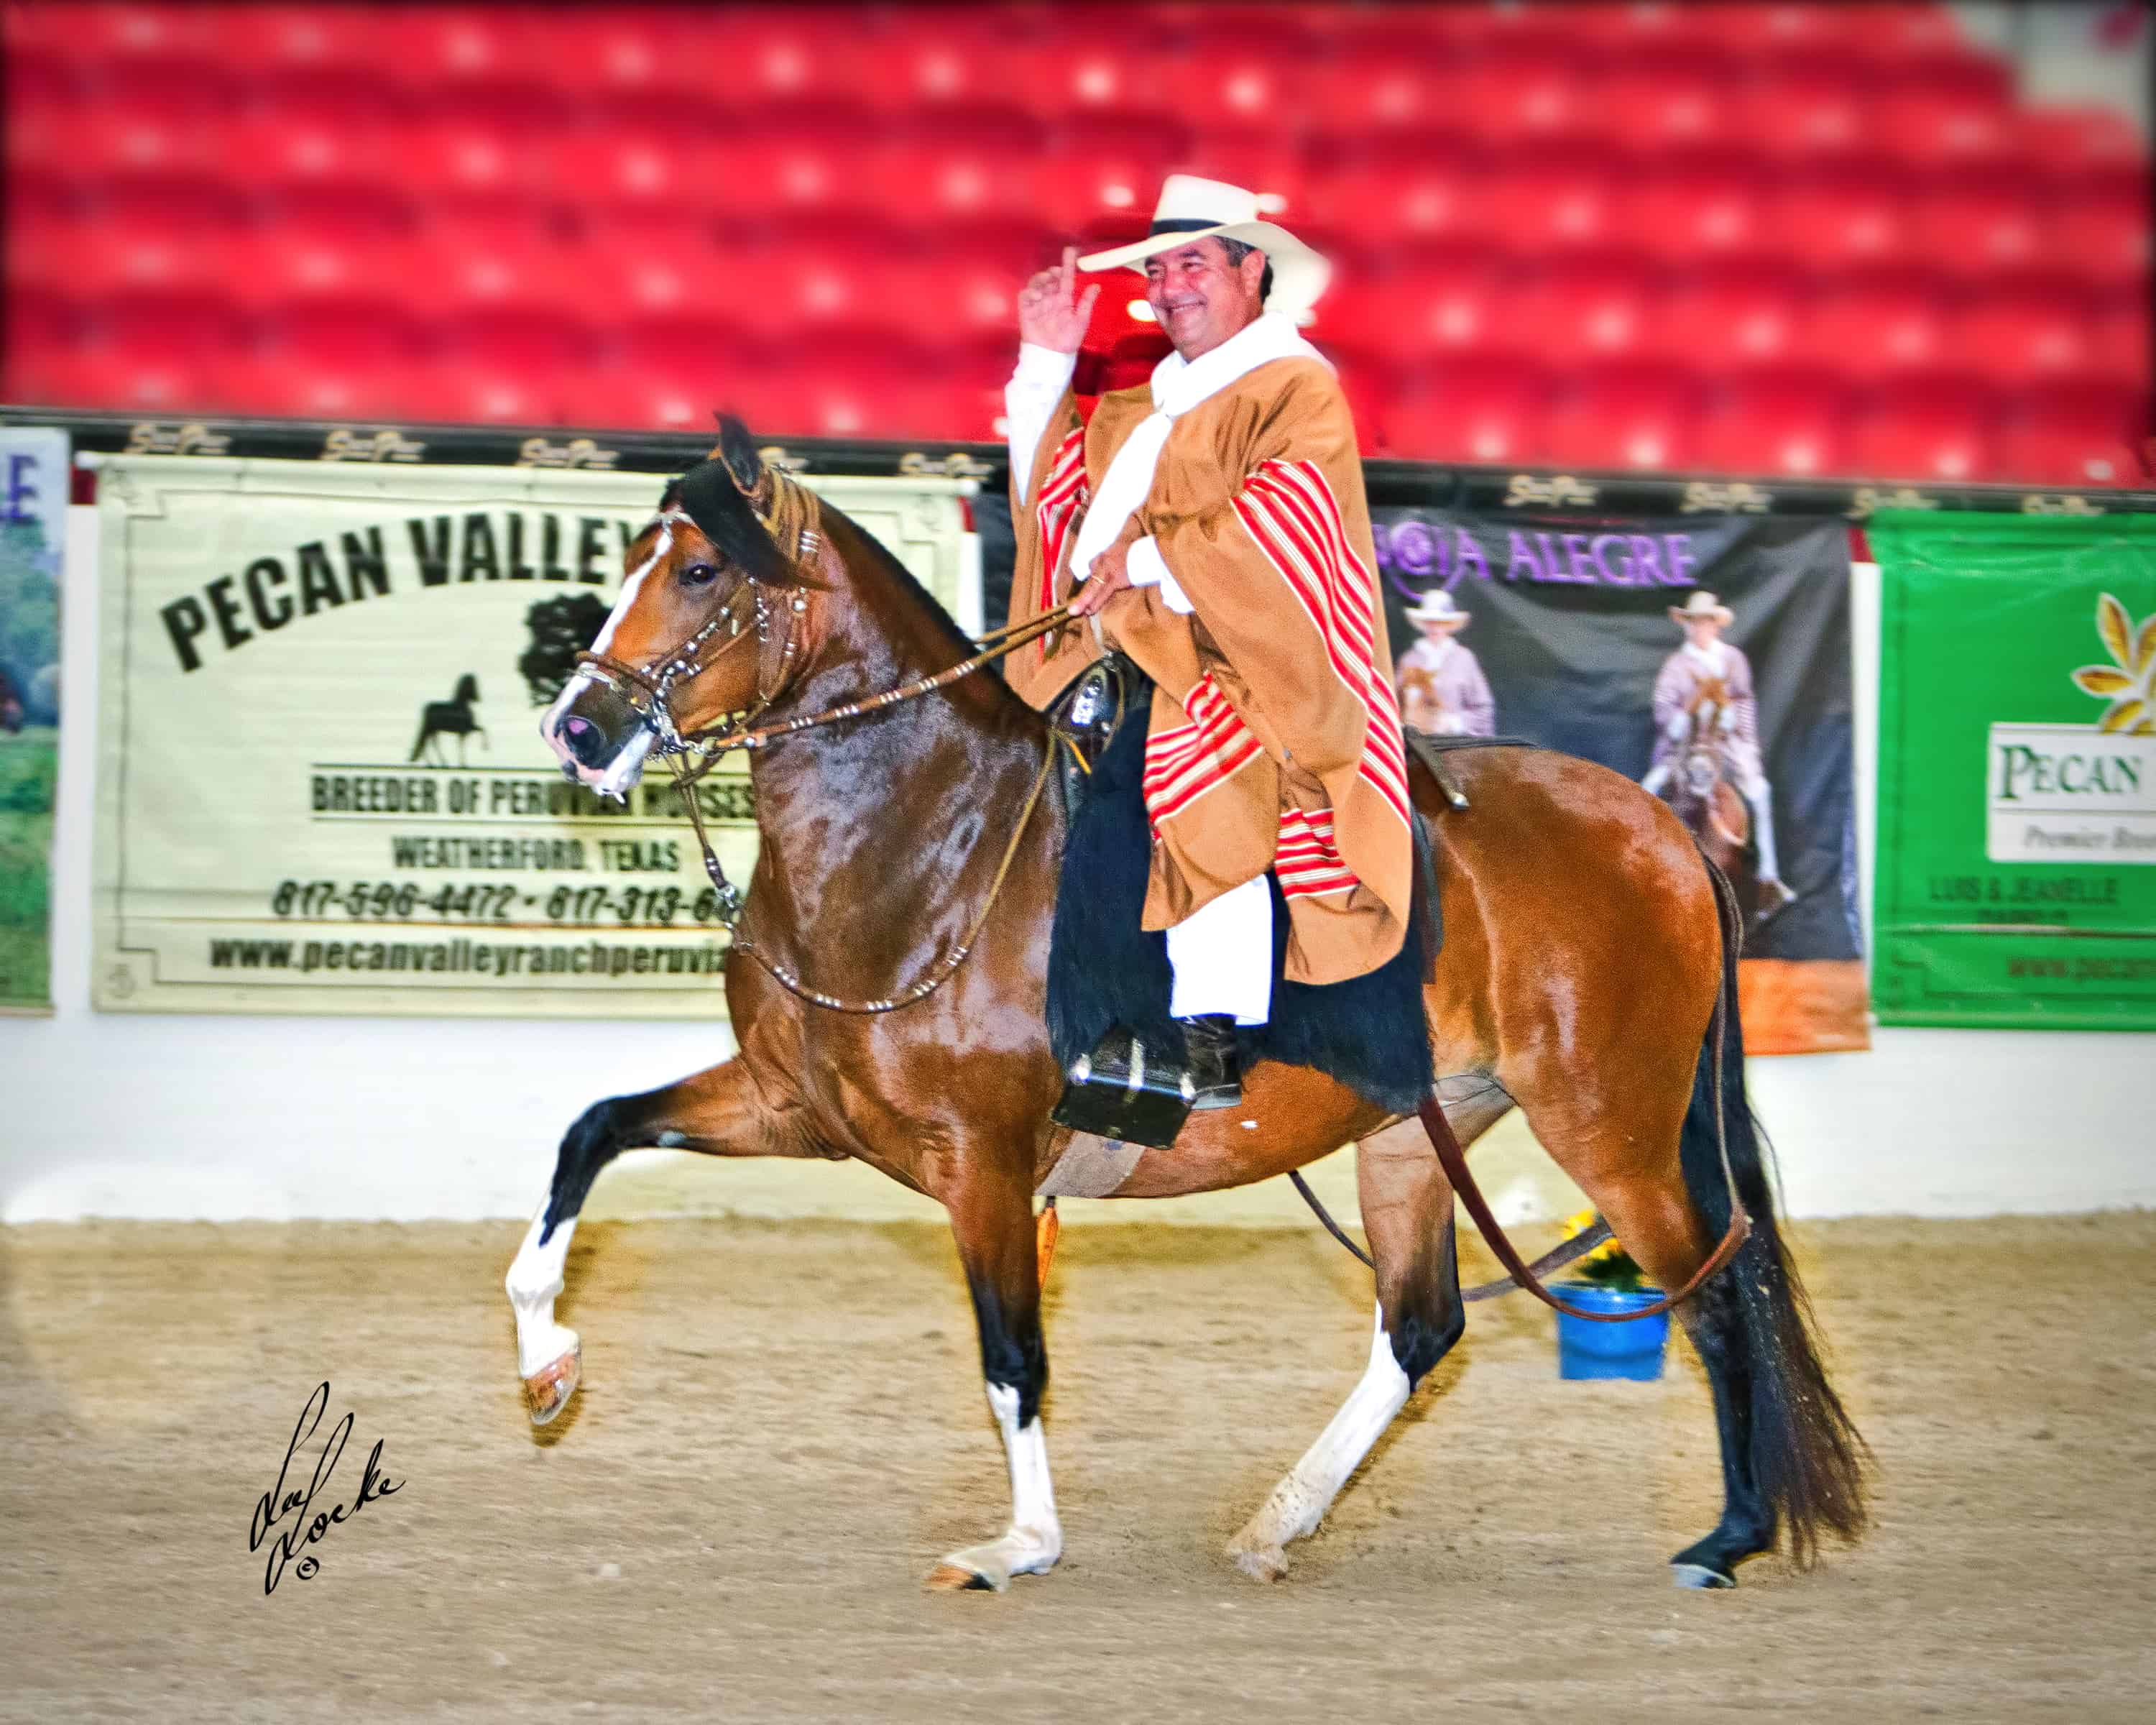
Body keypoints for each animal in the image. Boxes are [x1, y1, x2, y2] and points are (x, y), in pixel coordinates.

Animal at [507, 421, 1867, 1593]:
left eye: (695, 571)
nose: (580, 727)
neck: (925, 841)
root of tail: (1664, 830)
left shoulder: (984, 1159)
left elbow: (1013, 1355)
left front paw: (1022, 1543)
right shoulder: (792, 1109)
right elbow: (590, 1132)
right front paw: (545, 1360)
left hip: (1611, 1125)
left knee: (1715, 1294)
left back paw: (1726, 1539)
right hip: (1416, 1132)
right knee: (1423, 1328)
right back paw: (1278, 1523)